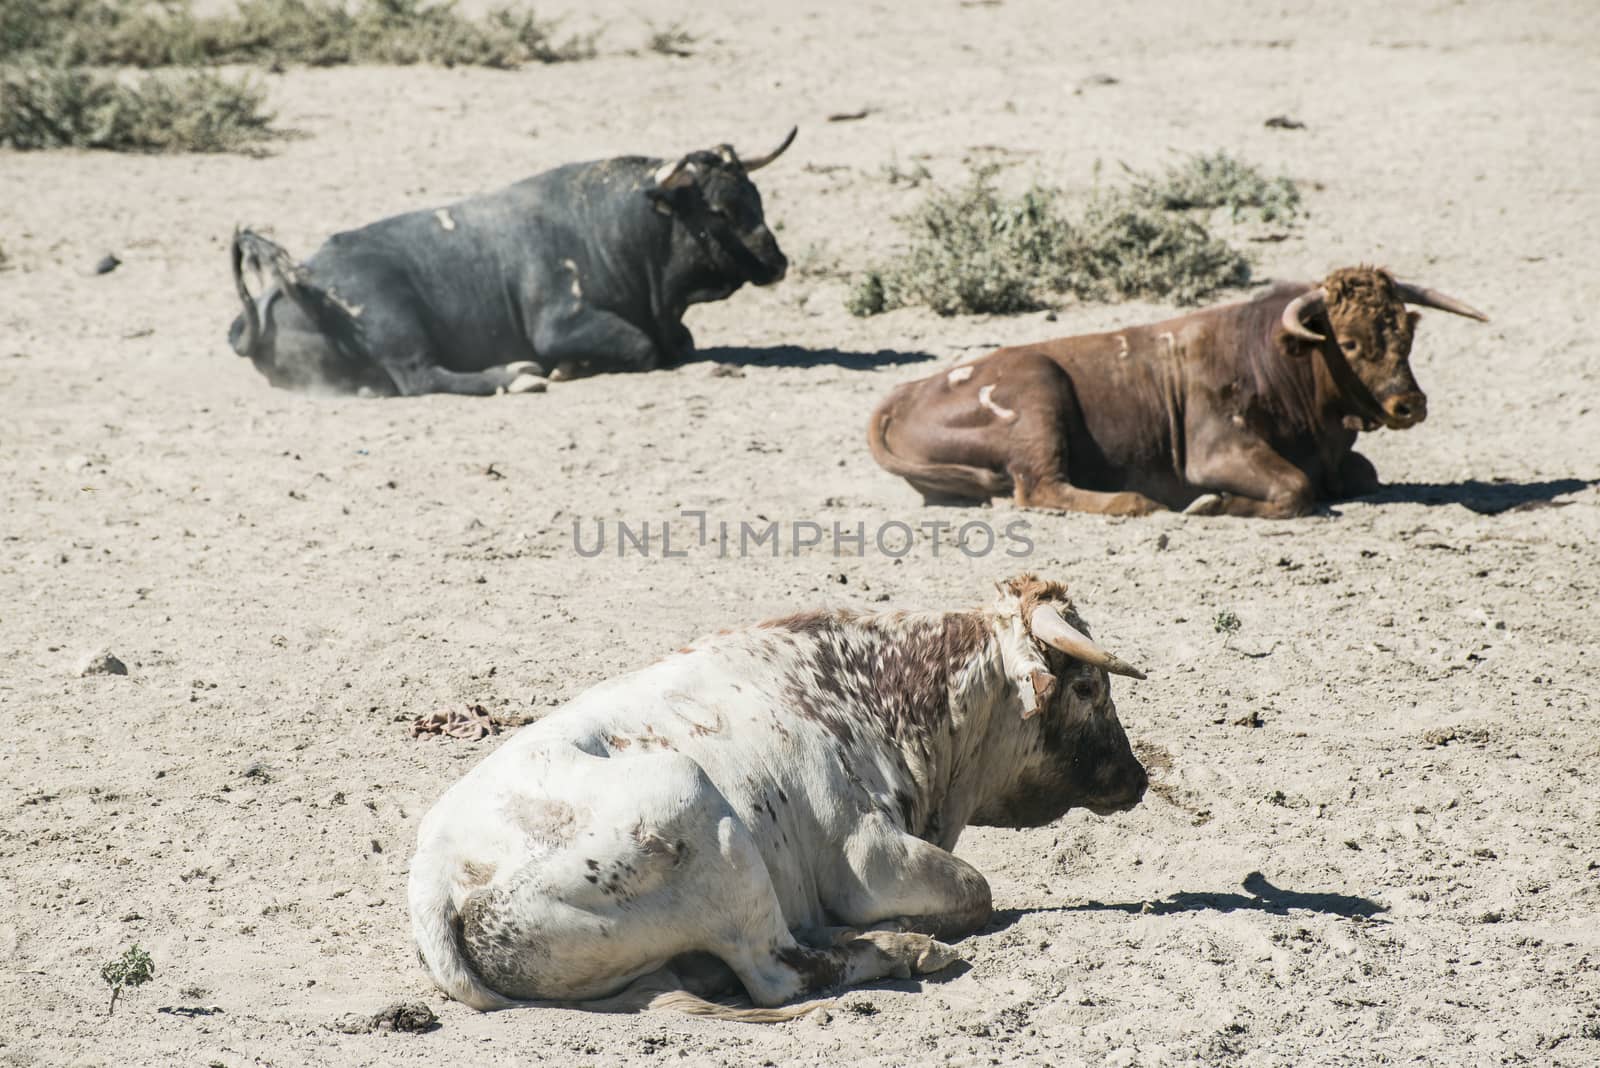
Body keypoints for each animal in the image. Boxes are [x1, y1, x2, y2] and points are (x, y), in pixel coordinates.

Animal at [225, 129, 800, 396]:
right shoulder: (560, 323)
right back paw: (518, 375)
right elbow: (643, 347)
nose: (777, 262)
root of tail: (294, 282)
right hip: (396, 323)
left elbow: (678, 343)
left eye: (755, 196)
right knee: (422, 377)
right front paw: (568, 368)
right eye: (719, 210)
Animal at [406, 575, 1145, 1016]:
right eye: (1087, 688)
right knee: (777, 972)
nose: (1137, 778)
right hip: (696, 806)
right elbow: (975, 891)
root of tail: (438, 868)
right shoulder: (868, 860)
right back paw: (901, 947)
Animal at [864, 265, 1484, 518]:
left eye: (1406, 332)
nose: (1408, 404)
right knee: (1040, 487)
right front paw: (1211, 504)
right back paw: (1135, 502)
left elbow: (1360, 476)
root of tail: (907, 392)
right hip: (1042, 392)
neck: (1275, 355)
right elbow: (1295, 487)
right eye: (1349, 342)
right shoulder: (1217, 452)